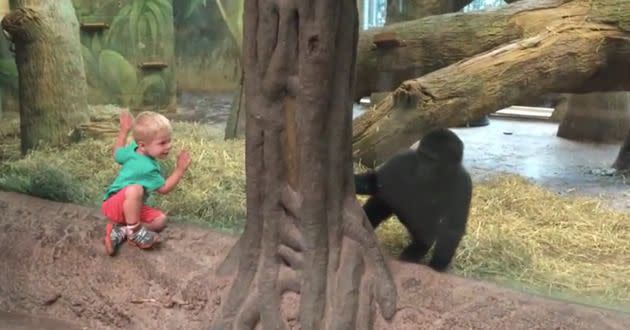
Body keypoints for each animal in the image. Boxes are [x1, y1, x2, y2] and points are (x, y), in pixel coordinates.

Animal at [356, 127, 474, 270]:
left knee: (424, 237)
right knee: (380, 203)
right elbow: (375, 182)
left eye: (432, 160)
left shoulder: (463, 183)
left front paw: (437, 266)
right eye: (423, 157)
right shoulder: (402, 160)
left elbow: (453, 228)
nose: (422, 168)